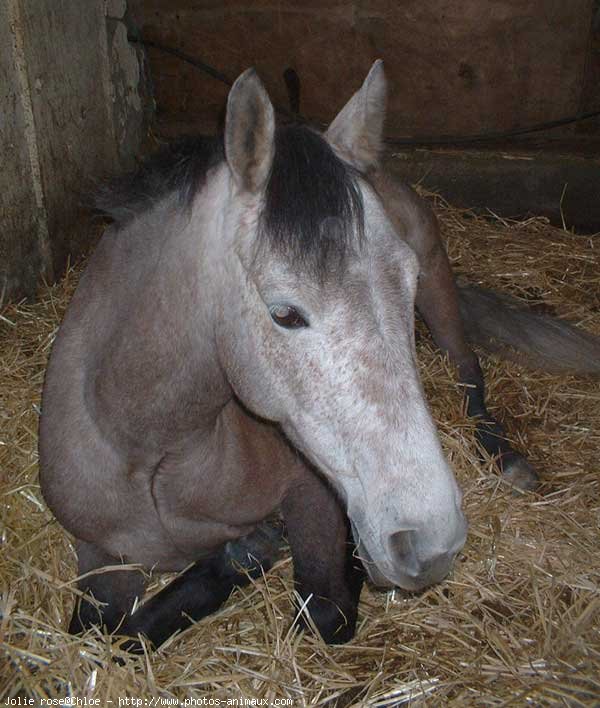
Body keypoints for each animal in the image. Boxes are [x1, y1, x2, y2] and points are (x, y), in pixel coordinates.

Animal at [38, 62, 600, 652]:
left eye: (404, 285)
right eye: (285, 314)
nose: (431, 542)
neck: (150, 449)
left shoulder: (313, 494)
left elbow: (324, 612)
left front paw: (254, 553)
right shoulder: (101, 557)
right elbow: (98, 634)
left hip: (440, 289)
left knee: (470, 374)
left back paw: (506, 457)